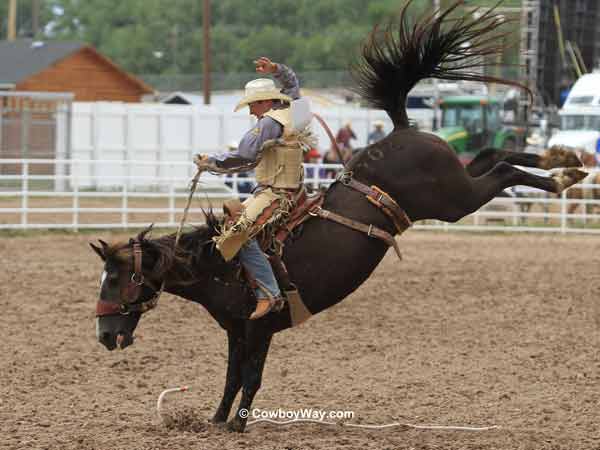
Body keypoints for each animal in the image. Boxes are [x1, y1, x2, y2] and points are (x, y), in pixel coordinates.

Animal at [89, 0, 584, 432]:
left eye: (115, 280)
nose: (104, 335)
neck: (218, 262)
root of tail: (402, 128)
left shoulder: (260, 328)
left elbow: (251, 377)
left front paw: (238, 426)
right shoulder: (236, 331)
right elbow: (231, 376)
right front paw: (216, 420)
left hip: (453, 200)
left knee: (501, 170)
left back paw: (565, 174)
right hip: (454, 186)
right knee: (492, 155)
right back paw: (565, 158)